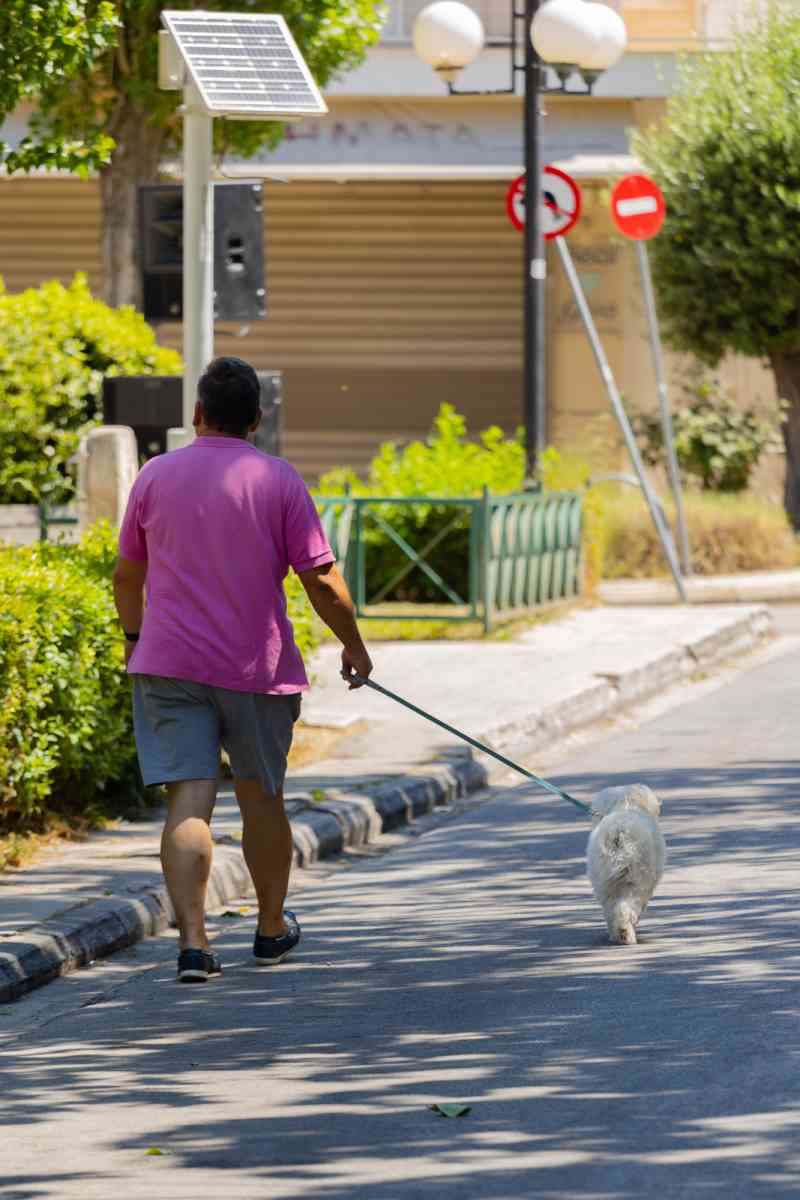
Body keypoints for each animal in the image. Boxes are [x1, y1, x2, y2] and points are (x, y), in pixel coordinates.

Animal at [585, 787, 666, 945]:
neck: (626, 805)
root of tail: (619, 832)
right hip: (636, 880)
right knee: (627, 907)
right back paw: (626, 933)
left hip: (604, 882)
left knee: (610, 909)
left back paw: (616, 934)